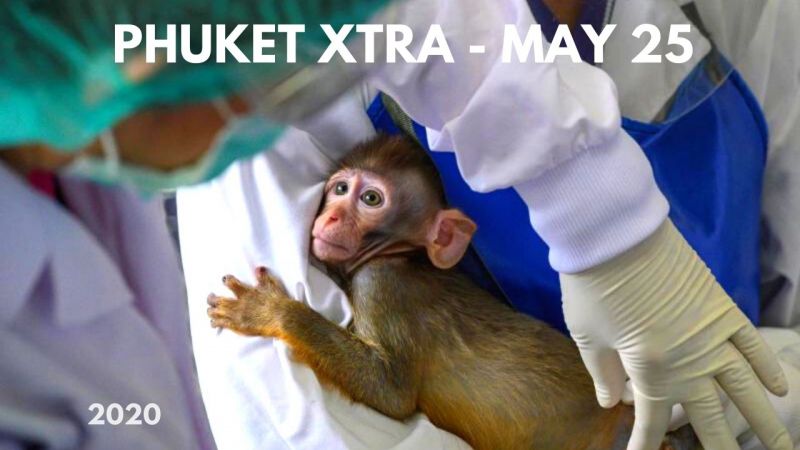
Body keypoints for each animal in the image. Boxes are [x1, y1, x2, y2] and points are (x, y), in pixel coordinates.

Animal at [207, 134, 698, 450]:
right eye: (340, 188)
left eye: (370, 199)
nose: (329, 217)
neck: (404, 256)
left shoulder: (380, 285)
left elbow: (391, 392)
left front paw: (270, 311)